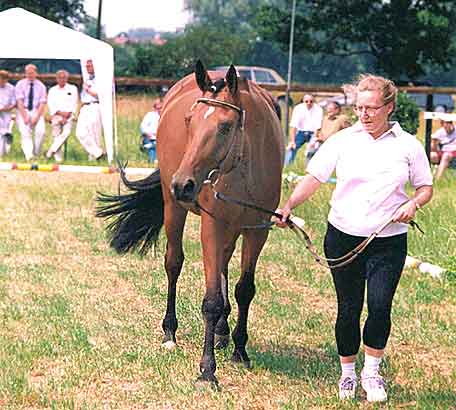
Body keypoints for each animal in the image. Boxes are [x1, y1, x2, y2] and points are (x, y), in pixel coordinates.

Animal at [97, 60, 284, 384]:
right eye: (189, 121)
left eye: (225, 126)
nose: (182, 184)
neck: (245, 163)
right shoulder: (213, 226)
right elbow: (210, 300)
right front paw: (207, 370)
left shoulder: (257, 230)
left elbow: (245, 289)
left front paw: (240, 350)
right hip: (175, 210)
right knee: (174, 262)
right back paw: (170, 332)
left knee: (223, 266)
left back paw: (222, 332)